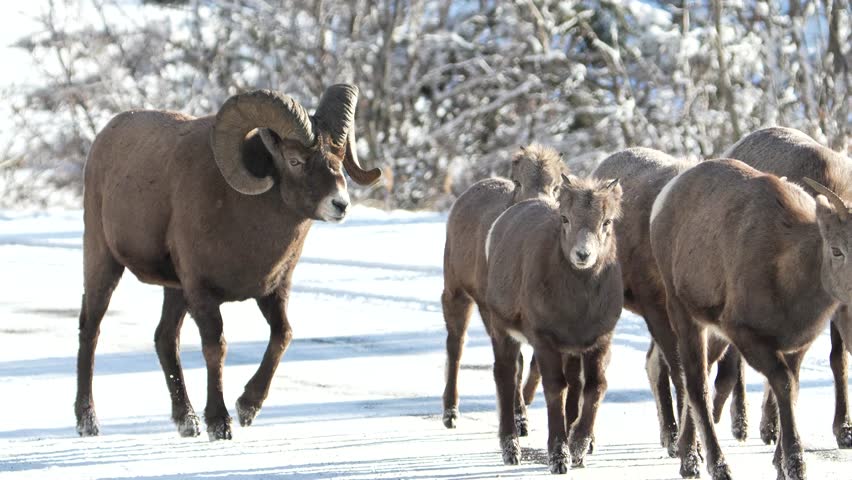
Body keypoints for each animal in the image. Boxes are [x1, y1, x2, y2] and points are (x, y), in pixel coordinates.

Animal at [75, 85, 381, 441]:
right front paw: (220, 423)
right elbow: (216, 348)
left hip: (174, 291)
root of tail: (103, 138)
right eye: (295, 160)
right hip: (103, 262)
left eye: (339, 157)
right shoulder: (202, 294)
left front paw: (247, 408)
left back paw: (187, 421)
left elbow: (283, 336)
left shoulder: (272, 291)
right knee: (91, 330)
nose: (340, 205)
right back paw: (88, 422)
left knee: (165, 339)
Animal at [441, 144, 564, 433]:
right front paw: (520, 420)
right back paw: (450, 412)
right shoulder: (497, 311)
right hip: (456, 289)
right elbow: (515, 363)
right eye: (519, 182)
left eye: (557, 187)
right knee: (456, 344)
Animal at [484, 175, 623, 474]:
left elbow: (594, 386)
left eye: (606, 222)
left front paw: (579, 447)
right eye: (565, 218)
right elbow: (555, 388)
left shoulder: (599, 341)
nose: (583, 255)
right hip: (502, 330)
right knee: (506, 376)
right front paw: (560, 456)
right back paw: (511, 449)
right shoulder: (544, 339)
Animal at [650, 158, 850, 480]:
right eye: (836, 250)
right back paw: (708, 465)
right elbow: (783, 385)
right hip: (684, 315)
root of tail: (664, 197)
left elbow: (790, 390)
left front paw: (780, 464)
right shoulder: (746, 334)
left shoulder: (795, 346)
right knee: (695, 384)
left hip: (713, 334)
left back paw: (686, 454)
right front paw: (795, 465)